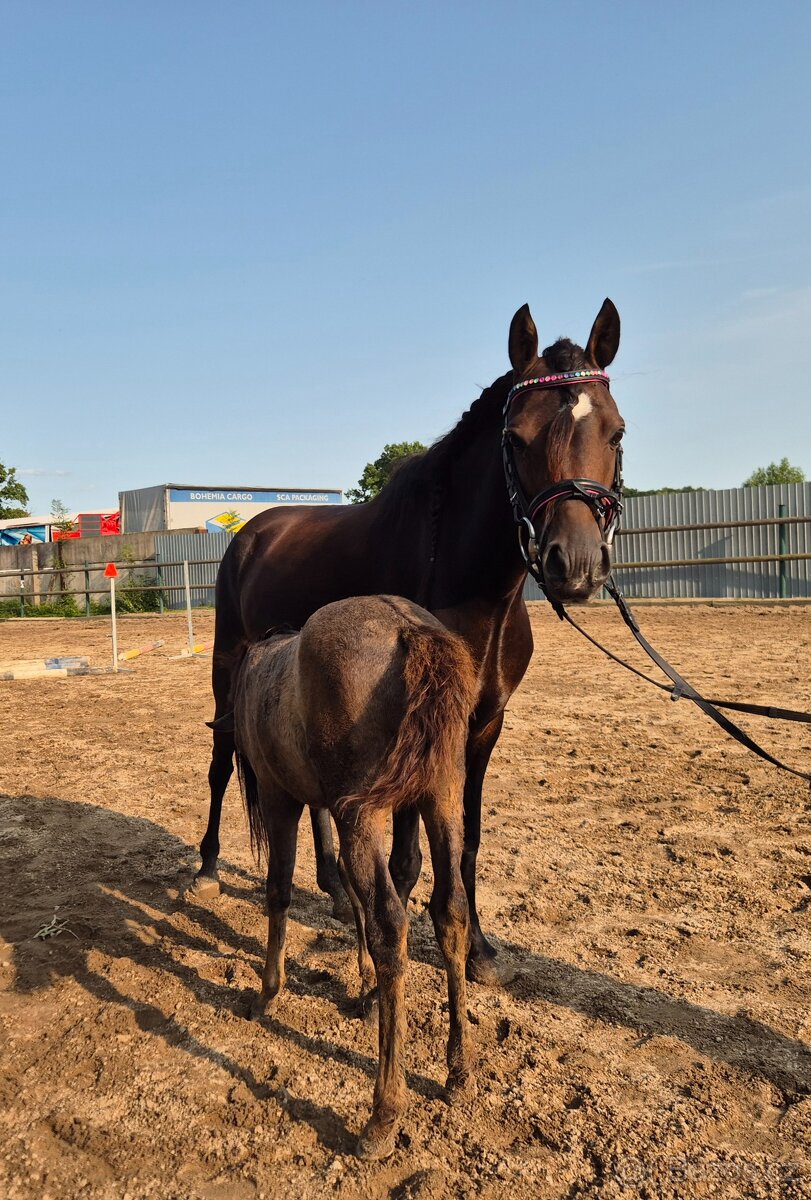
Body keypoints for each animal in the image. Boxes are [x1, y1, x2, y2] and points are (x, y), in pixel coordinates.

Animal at [197, 299, 625, 985]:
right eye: (515, 437)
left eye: (616, 434)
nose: (576, 565)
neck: (472, 588)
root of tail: (252, 529)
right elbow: (404, 858)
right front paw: (380, 956)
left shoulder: (483, 725)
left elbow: (467, 837)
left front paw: (479, 950)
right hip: (226, 670)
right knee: (218, 764)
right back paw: (208, 868)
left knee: (316, 799)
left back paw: (335, 888)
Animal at [231, 595, 479, 1160]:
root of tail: (409, 628)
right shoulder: (324, 803)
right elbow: (344, 884)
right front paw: (363, 984)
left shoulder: (282, 798)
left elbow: (279, 890)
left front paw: (268, 991)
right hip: (441, 795)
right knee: (451, 909)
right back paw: (458, 1070)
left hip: (363, 811)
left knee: (392, 924)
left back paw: (384, 1111)